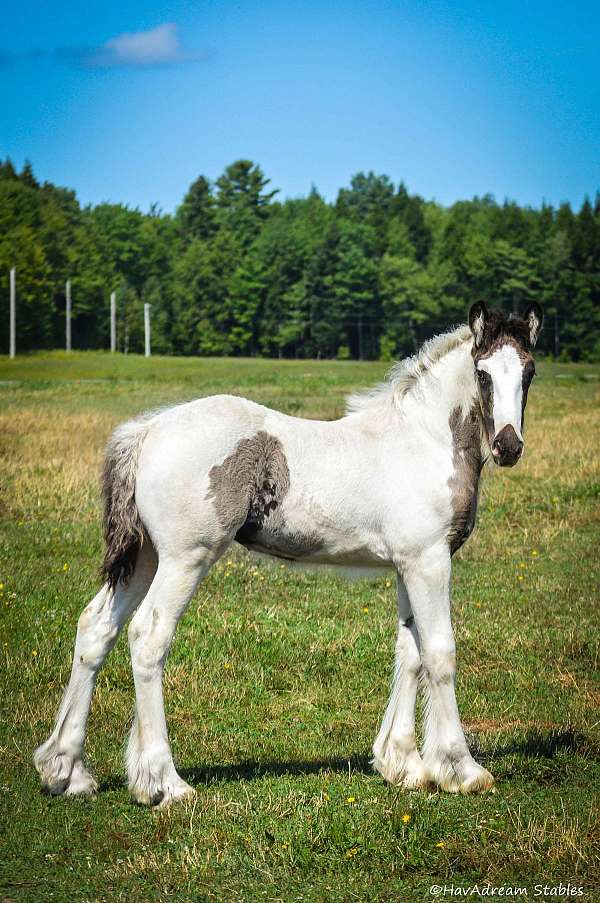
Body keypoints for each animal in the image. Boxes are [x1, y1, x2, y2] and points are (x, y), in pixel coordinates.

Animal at [34, 300, 543, 807]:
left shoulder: (407, 565)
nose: (508, 446)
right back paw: (164, 782)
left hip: (145, 558)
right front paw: (459, 769)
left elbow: (409, 650)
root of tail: (149, 430)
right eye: (482, 373)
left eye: (529, 371)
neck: (423, 440)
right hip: (184, 558)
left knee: (97, 627)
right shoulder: (429, 561)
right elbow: (439, 652)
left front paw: (403, 764)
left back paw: (66, 771)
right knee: (148, 635)